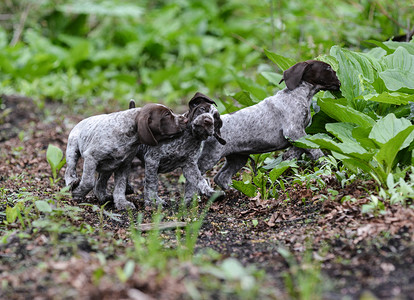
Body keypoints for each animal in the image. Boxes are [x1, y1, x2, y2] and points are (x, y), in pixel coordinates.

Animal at [196, 59, 340, 189]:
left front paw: (288, 159)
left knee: (221, 177)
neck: (298, 94)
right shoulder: (293, 131)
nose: (339, 79)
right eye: (328, 68)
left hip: (238, 158)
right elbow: (315, 149)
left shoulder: (298, 134)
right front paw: (325, 164)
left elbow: (302, 147)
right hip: (209, 158)